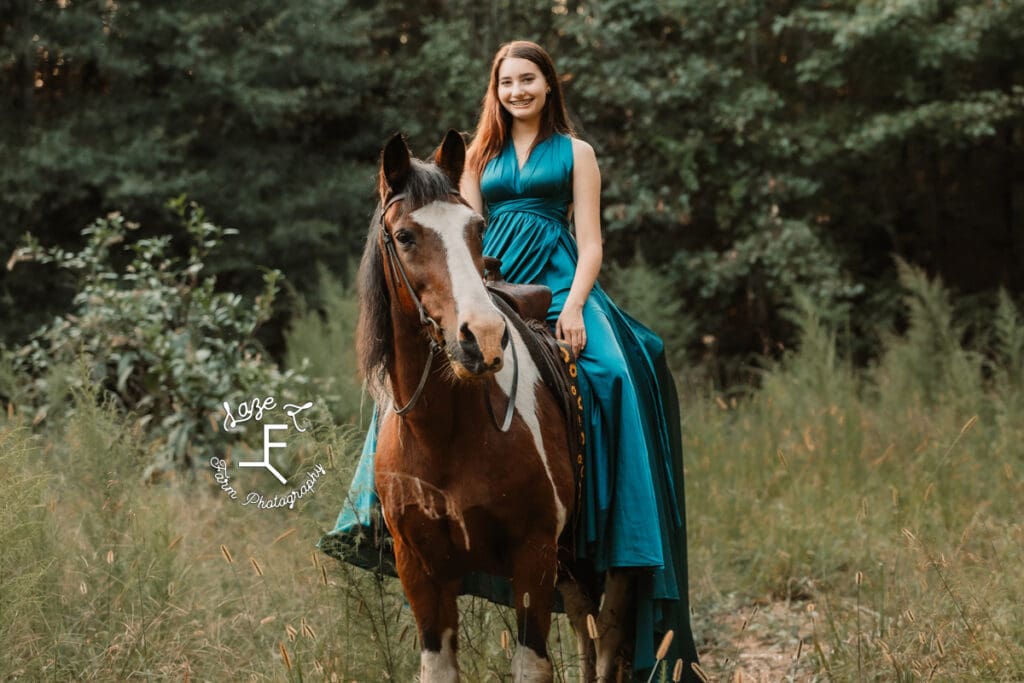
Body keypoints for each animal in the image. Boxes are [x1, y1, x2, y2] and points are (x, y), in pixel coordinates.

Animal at [358, 129, 630, 683]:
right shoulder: (420, 569)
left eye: (476, 228)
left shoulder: (533, 555)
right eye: (405, 236)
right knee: (585, 629)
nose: (481, 339)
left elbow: (531, 665)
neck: (443, 431)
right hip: (569, 566)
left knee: (608, 639)